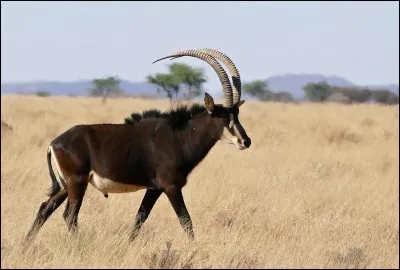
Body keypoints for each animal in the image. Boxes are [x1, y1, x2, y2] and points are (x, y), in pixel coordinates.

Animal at [25, 47, 252, 244]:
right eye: (223, 116)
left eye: (237, 114)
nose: (245, 141)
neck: (178, 136)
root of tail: (54, 143)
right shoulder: (171, 187)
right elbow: (186, 221)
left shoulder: (154, 189)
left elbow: (139, 218)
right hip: (76, 182)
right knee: (69, 215)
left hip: (65, 186)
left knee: (45, 208)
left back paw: (25, 245)